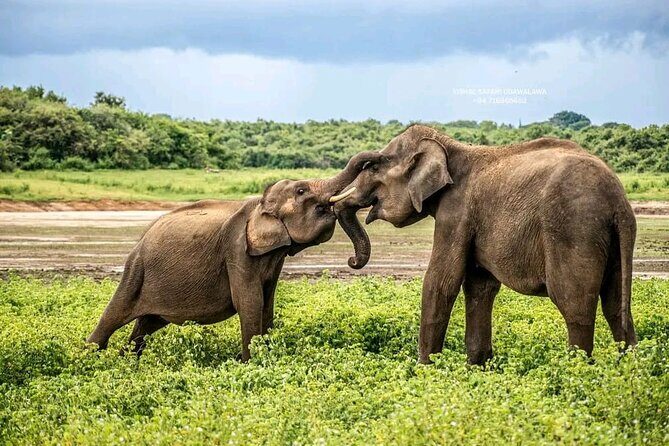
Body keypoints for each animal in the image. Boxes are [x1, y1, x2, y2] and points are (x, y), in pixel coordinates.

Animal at [86, 153, 374, 361]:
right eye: (301, 191)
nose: (352, 261)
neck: (259, 204)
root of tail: (140, 242)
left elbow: (267, 303)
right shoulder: (235, 250)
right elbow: (249, 302)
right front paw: (249, 363)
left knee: (145, 327)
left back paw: (126, 362)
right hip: (136, 271)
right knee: (112, 317)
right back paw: (90, 360)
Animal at [335, 124, 637, 365]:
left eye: (375, 167)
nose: (352, 262)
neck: (450, 147)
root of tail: (617, 201)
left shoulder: (456, 213)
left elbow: (441, 281)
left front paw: (424, 371)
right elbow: (480, 287)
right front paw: (477, 368)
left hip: (574, 228)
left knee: (574, 304)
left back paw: (576, 371)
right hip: (612, 237)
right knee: (616, 306)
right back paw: (628, 371)